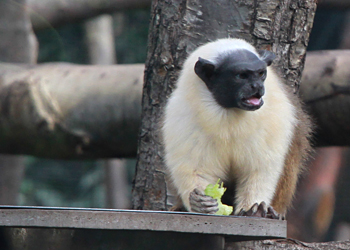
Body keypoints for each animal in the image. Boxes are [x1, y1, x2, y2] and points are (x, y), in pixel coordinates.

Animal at [161, 38, 312, 220]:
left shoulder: (275, 116)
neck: (230, 112)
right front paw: (199, 203)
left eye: (261, 73)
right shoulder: (181, 117)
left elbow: (259, 169)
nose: (257, 86)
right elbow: (196, 169)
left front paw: (254, 208)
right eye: (241, 76)